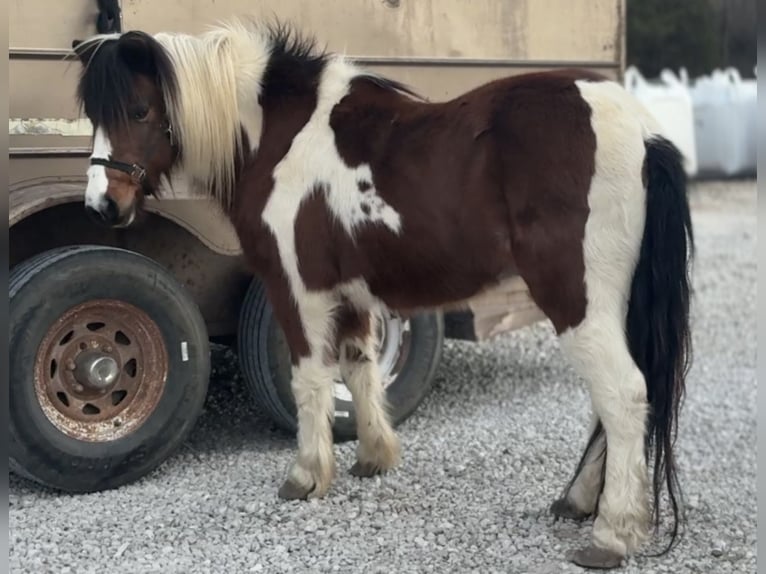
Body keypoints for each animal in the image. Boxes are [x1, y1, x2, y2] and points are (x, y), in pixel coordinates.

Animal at [70, 18, 694, 569]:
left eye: (140, 110)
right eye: (93, 115)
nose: (103, 206)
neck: (281, 137)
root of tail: (643, 133)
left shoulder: (298, 289)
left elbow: (310, 379)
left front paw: (306, 476)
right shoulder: (351, 296)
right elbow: (360, 368)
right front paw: (373, 457)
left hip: (576, 297)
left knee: (623, 394)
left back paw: (610, 536)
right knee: (614, 396)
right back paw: (580, 501)